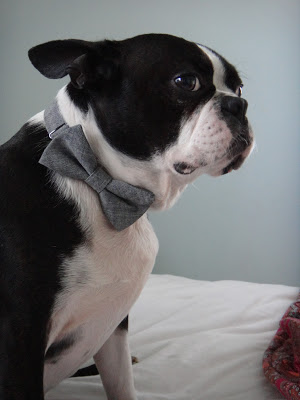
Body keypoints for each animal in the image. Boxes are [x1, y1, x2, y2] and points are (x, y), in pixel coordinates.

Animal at [0, 34, 253, 400]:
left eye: (240, 88)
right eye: (186, 82)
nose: (240, 105)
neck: (99, 181)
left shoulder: (114, 327)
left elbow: (122, 384)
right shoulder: (20, 341)